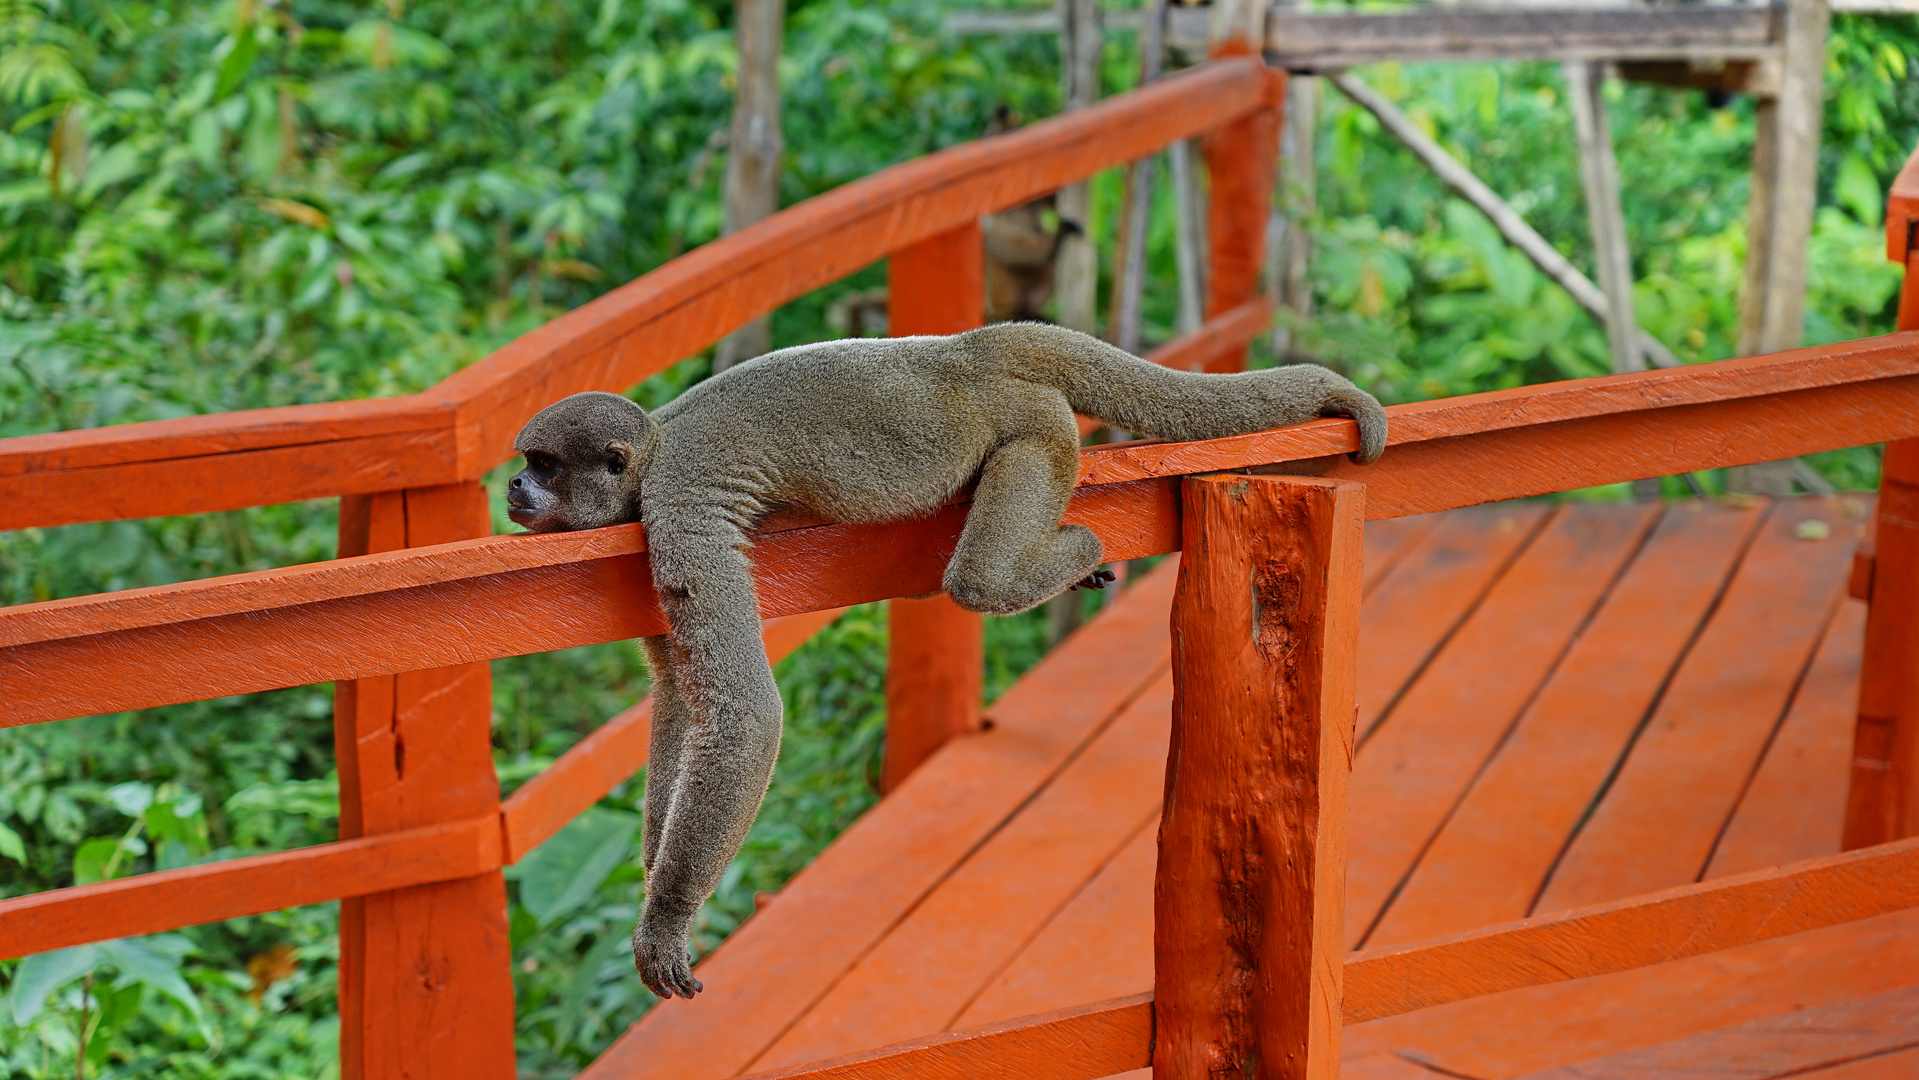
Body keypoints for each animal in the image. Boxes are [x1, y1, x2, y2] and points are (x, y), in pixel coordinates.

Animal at [506, 326, 1381, 1005]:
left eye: (544, 465)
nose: (513, 485)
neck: (655, 446)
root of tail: (969, 349)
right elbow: (679, 700)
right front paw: (654, 880)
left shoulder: (679, 506)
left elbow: (744, 714)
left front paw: (667, 917)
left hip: (1035, 431)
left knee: (981, 579)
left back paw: (1076, 550)